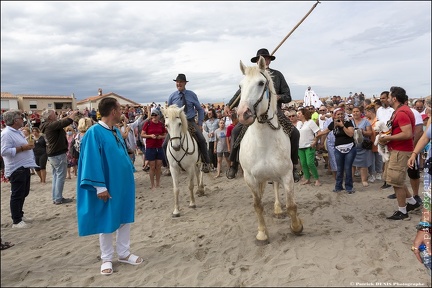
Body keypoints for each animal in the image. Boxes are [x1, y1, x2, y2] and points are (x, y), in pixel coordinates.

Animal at [235, 56, 302, 245]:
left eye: (260, 83)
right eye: (240, 86)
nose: (243, 114)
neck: (262, 143)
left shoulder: (287, 175)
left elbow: (291, 205)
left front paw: (297, 227)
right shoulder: (250, 178)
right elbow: (257, 205)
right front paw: (262, 234)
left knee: (277, 188)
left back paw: (278, 210)